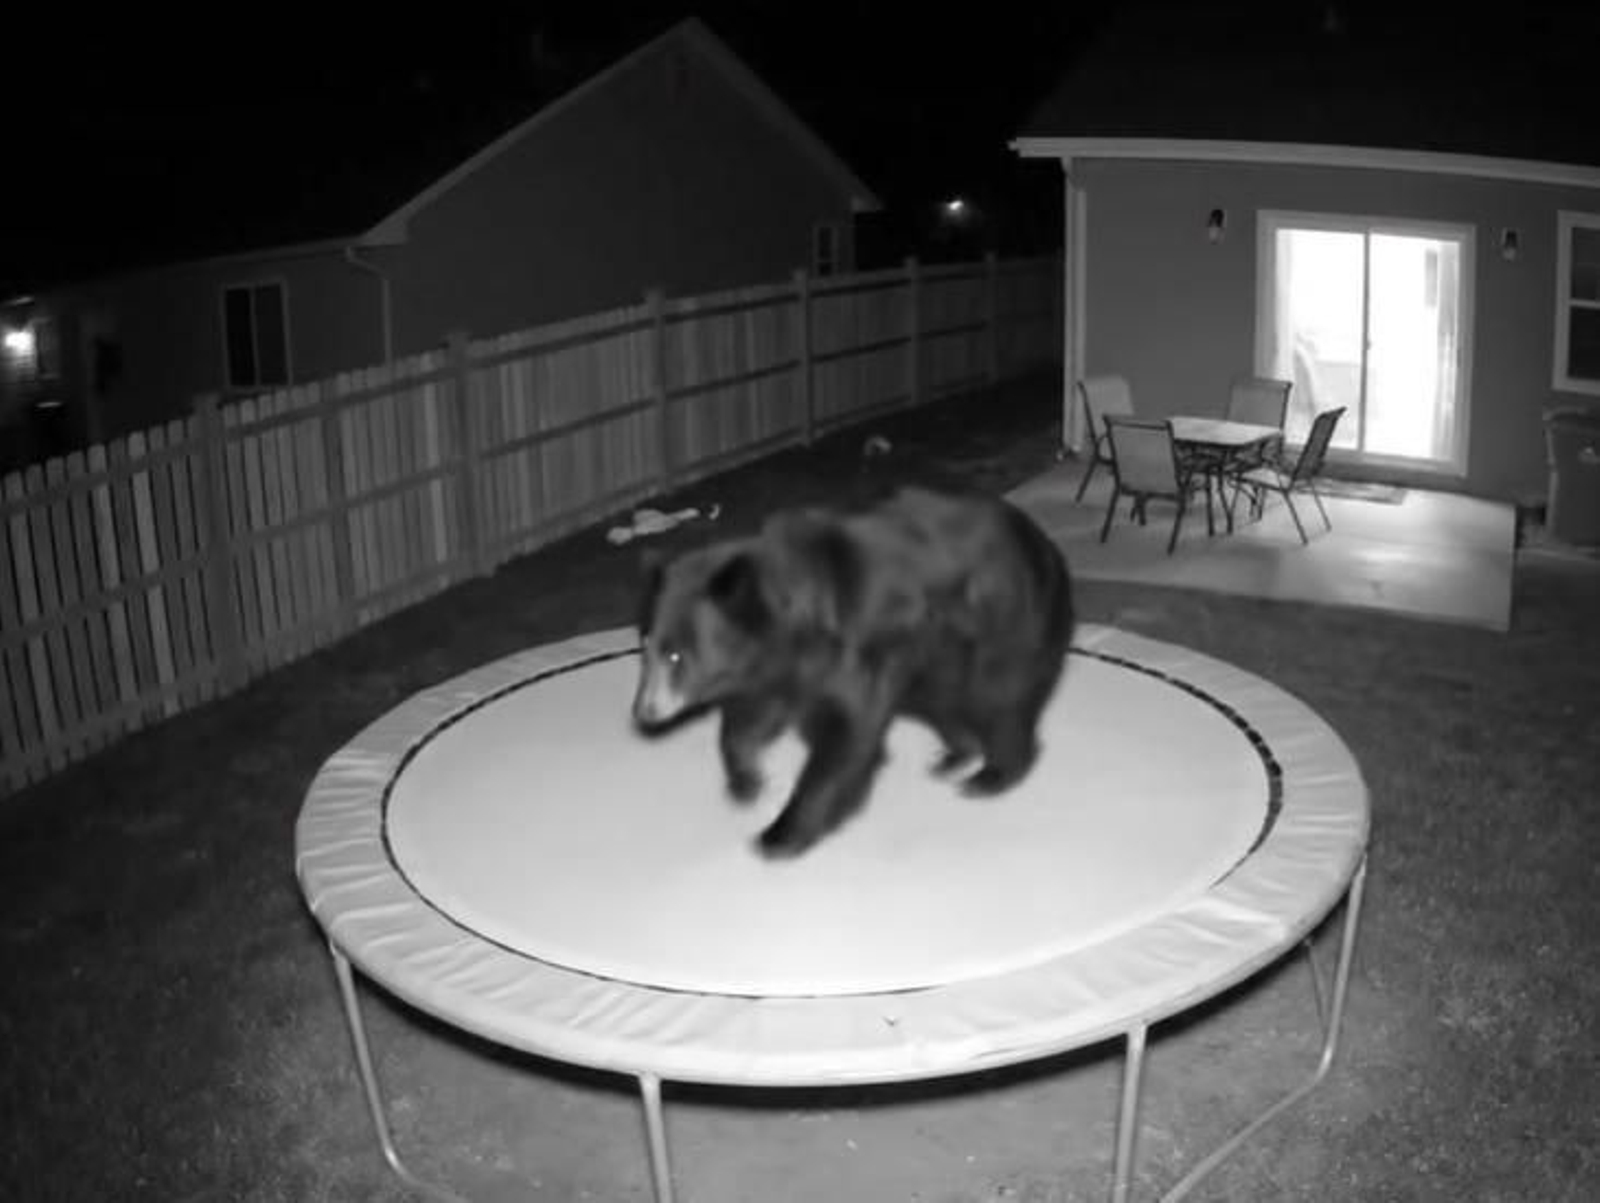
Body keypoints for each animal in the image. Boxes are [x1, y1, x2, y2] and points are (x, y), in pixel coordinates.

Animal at [630, 484, 1075, 858]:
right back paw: (954, 755)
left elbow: (845, 732)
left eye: (676, 656)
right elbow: (751, 719)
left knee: (999, 700)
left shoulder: (849, 651)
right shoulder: (779, 671)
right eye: (645, 647)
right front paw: (747, 783)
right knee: (942, 701)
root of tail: (1048, 548)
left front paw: (779, 834)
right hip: (937, 662)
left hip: (1003, 628)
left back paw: (991, 775)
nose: (644, 712)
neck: (795, 623)